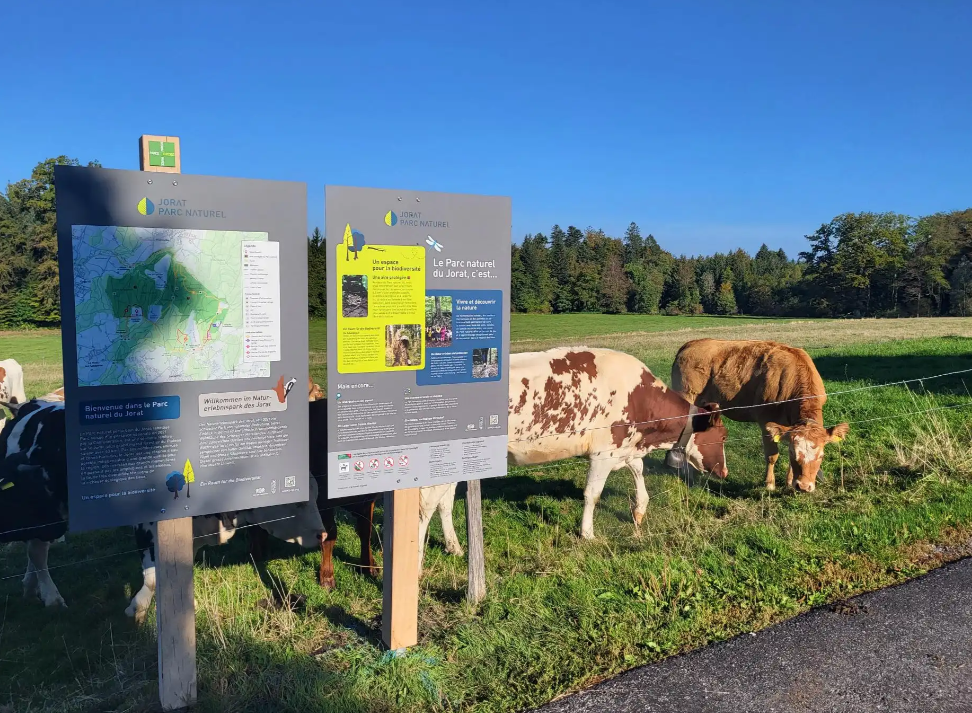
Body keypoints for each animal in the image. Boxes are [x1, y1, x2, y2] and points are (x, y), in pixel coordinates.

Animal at [672, 338, 848, 492]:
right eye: (794, 453)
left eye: (821, 456)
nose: (804, 487)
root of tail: (690, 344)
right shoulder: (766, 422)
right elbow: (772, 456)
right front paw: (769, 484)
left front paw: (789, 482)